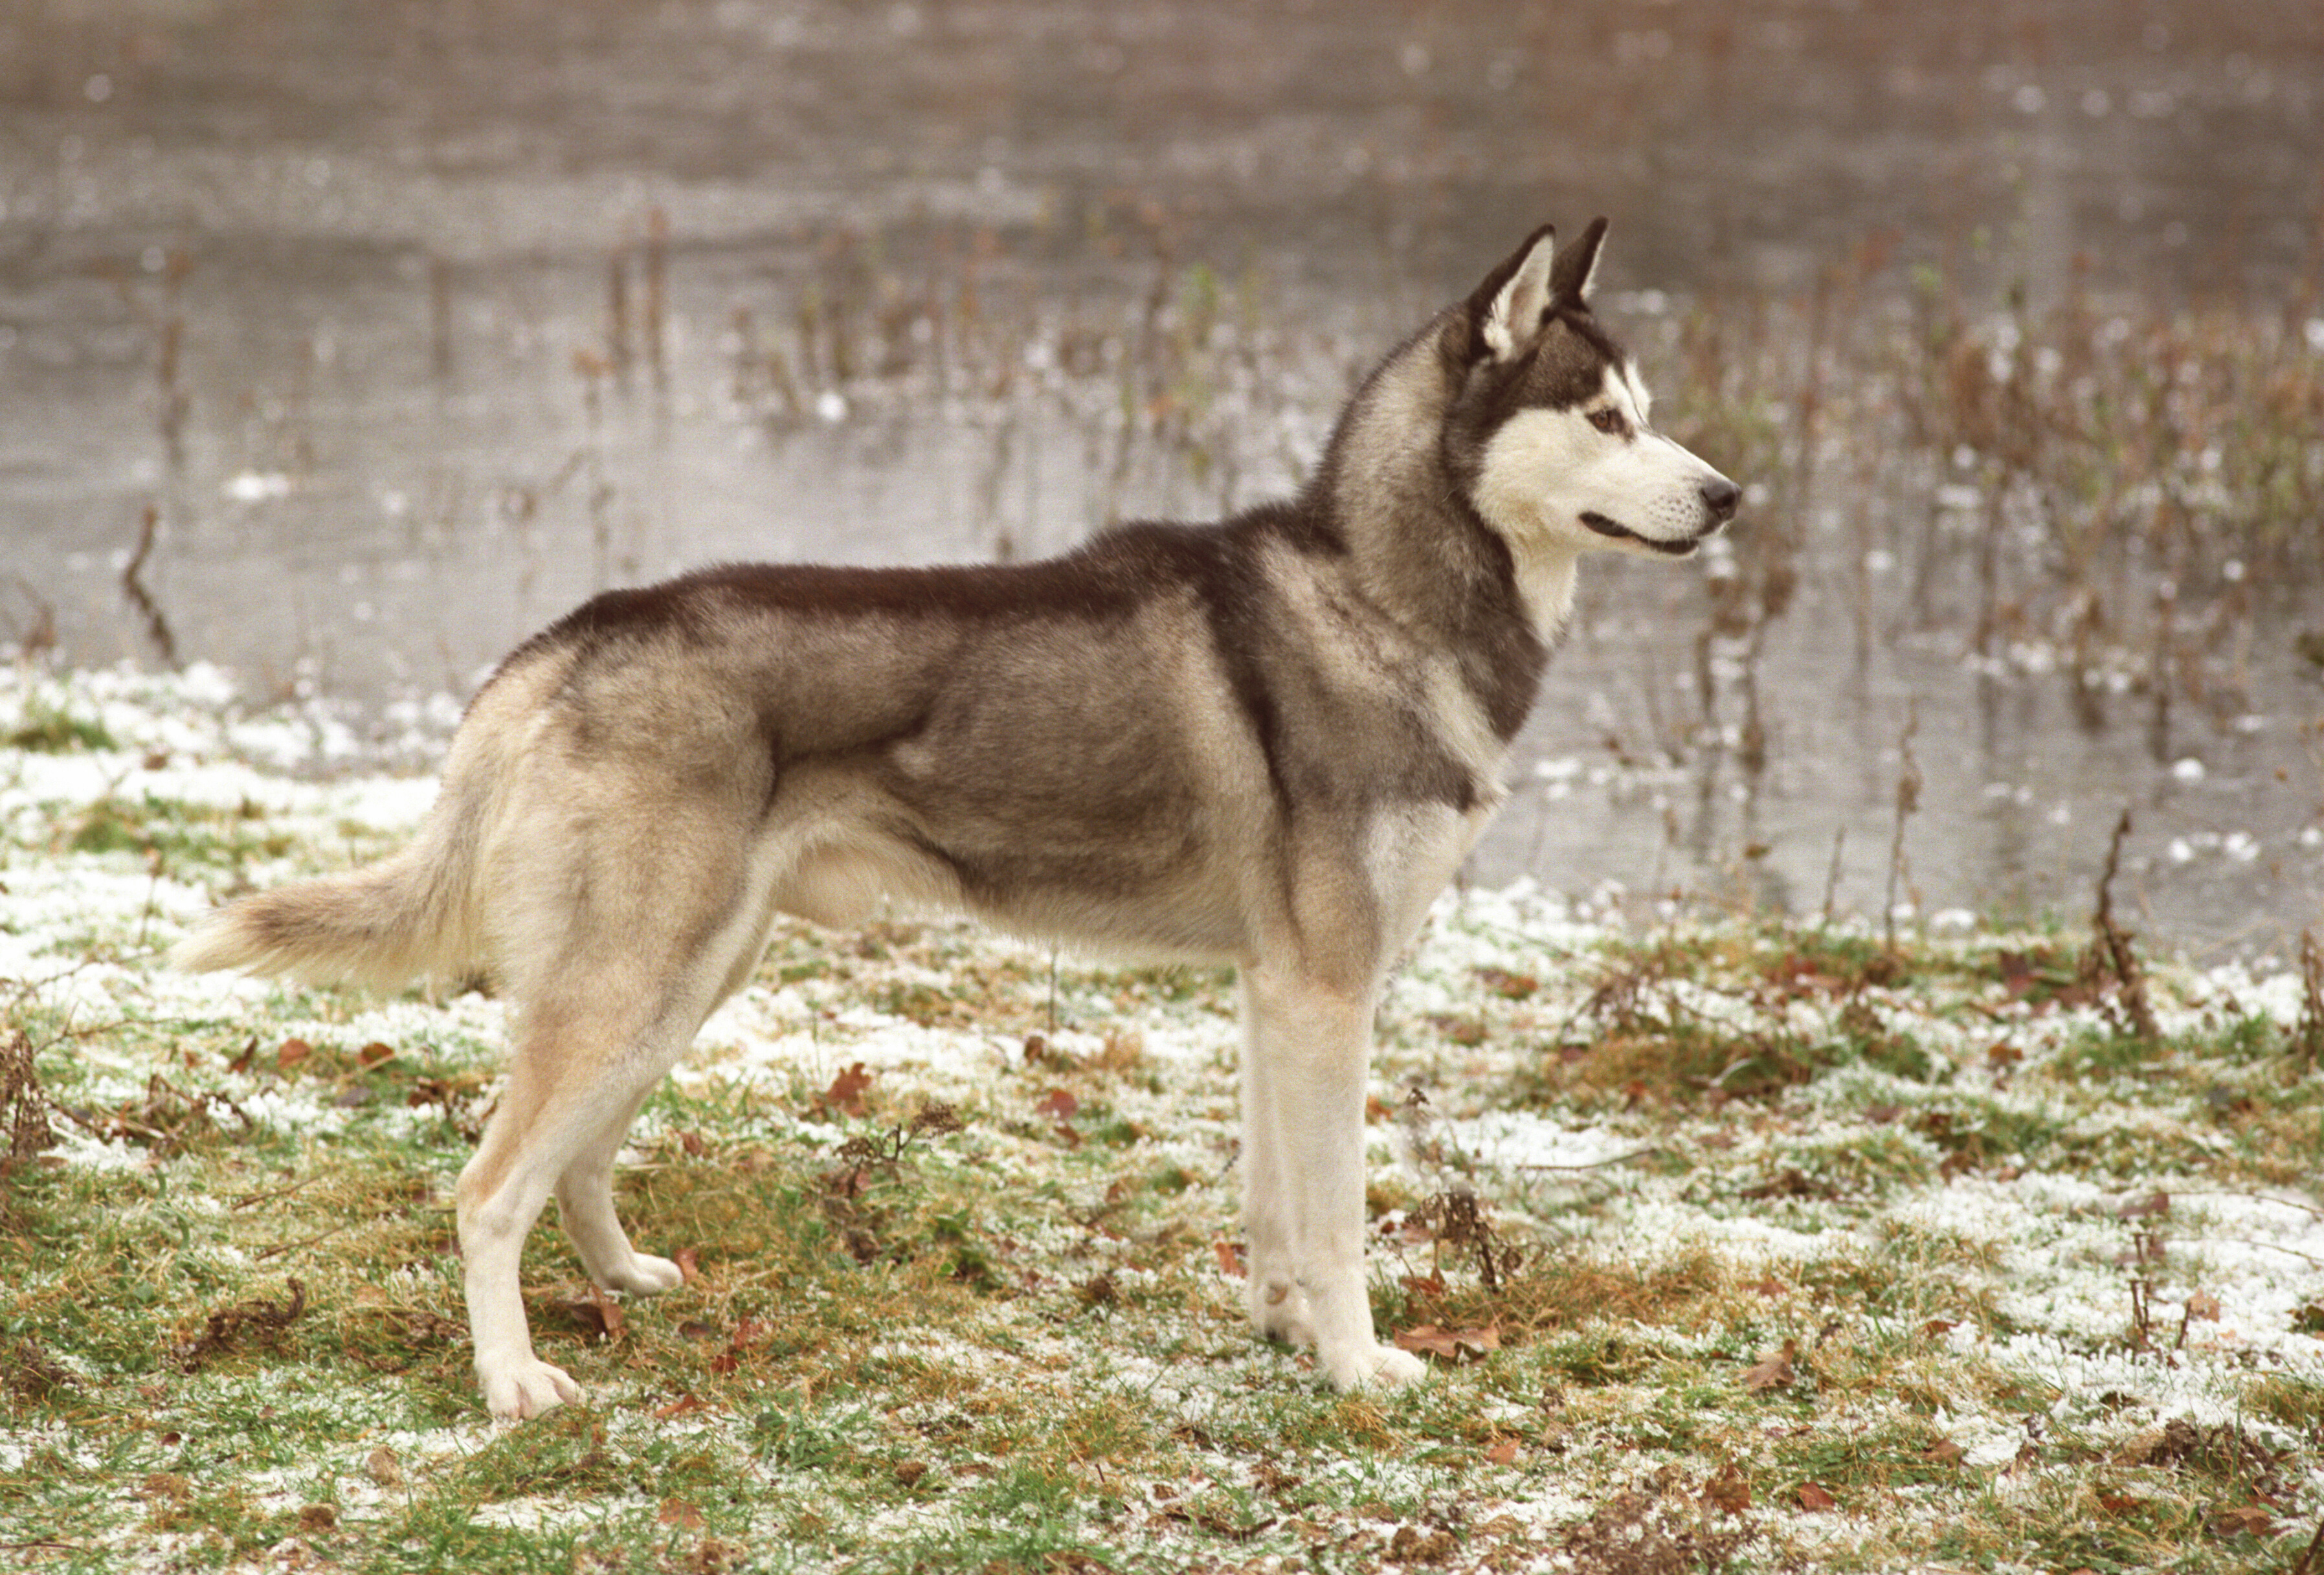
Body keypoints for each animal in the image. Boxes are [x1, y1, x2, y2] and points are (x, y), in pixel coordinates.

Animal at [181, 219, 1738, 1422]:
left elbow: (1276, 1215)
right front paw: (1359, 1366)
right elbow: (1341, 1220)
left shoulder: (1277, 994)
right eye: (1607, 420)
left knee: (575, 1161)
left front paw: (1289, 1337)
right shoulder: (1327, 991)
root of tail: (568, 635)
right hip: (636, 981)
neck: (1378, 598)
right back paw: (512, 1384)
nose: (1729, 494)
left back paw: (623, 1282)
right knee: (488, 1185)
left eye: (1653, 409)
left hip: (684, 980)